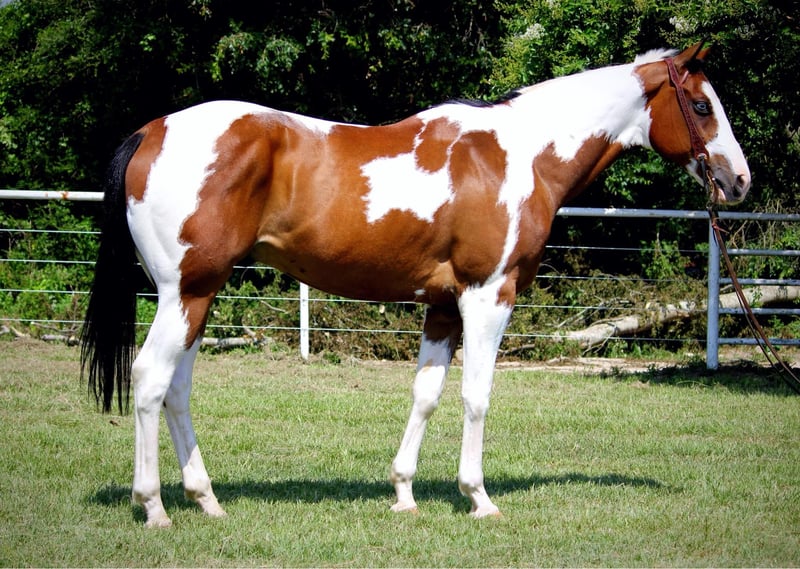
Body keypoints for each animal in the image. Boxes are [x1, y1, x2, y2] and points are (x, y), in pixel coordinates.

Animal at [81, 43, 750, 527]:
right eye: (702, 106)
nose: (739, 180)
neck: (523, 154)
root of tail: (151, 132)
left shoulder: (444, 306)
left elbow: (426, 393)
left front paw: (404, 493)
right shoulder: (488, 295)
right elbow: (476, 396)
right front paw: (479, 498)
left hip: (199, 297)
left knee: (177, 389)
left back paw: (207, 500)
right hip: (186, 293)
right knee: (150, 380)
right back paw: (155, 508)